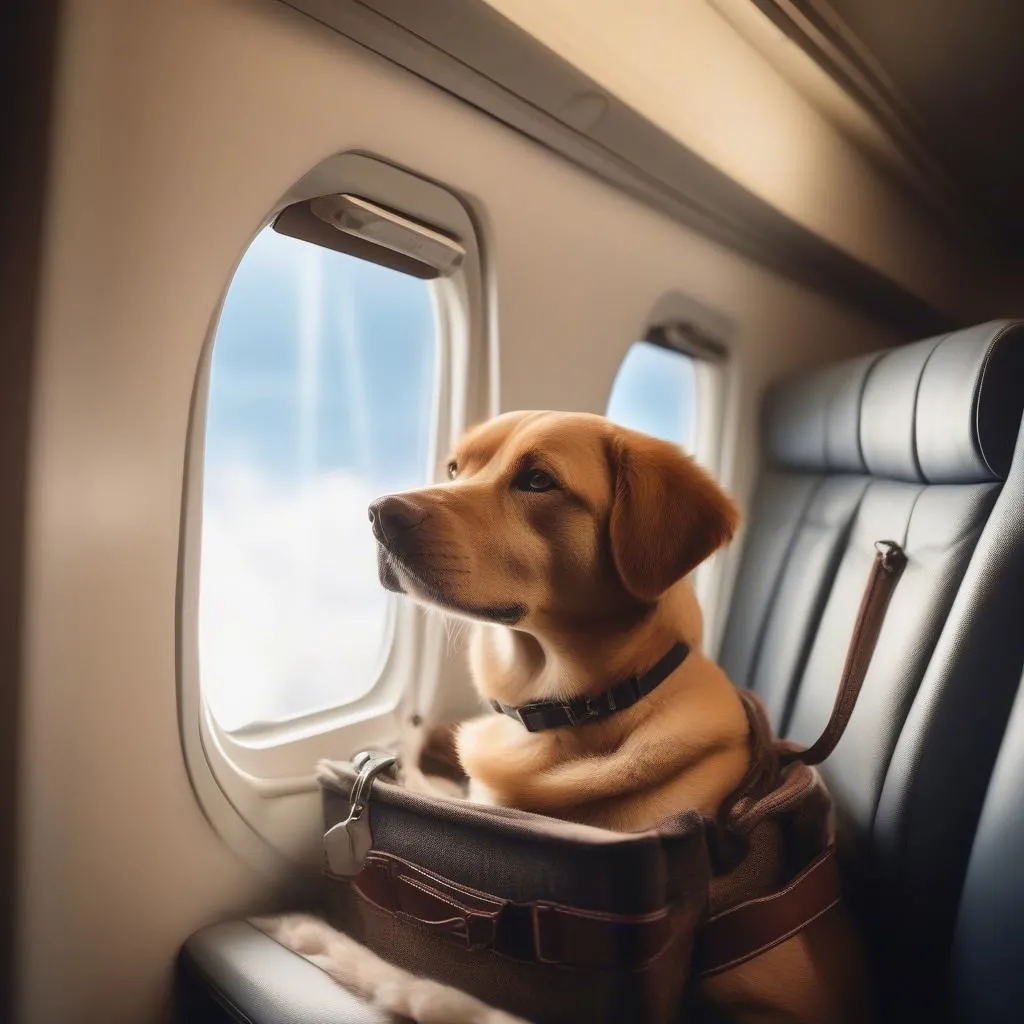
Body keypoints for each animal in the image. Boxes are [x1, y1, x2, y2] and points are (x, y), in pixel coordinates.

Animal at [256, 409, 872, 1024]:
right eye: (456, 468)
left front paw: (318, 936)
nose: (381, 514)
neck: (563, 713)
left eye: (537, 481)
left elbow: (444, 995)